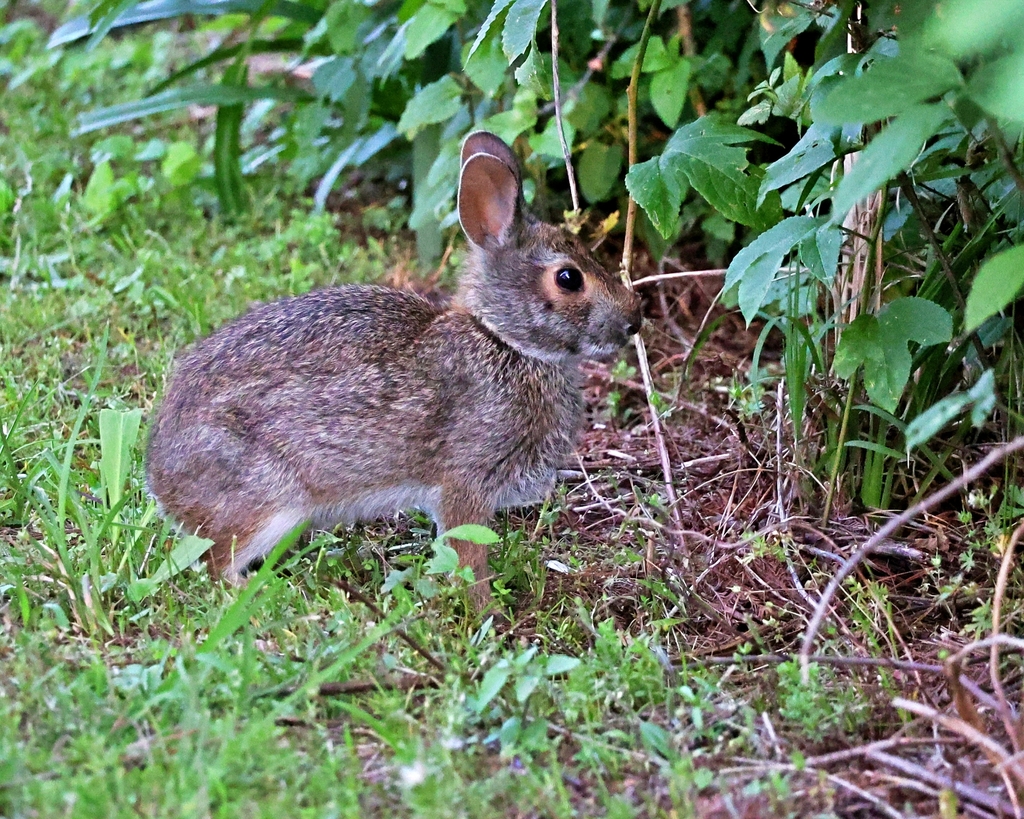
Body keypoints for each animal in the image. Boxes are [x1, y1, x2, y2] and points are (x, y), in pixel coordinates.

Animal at [144, 131, 638, 610]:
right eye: (568, 278)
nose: (634, 320)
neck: (502, 339)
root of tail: (160, 477)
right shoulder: (466, 482)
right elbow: (468, 554)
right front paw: (487, 613)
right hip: (267, 502)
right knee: (215, 565)